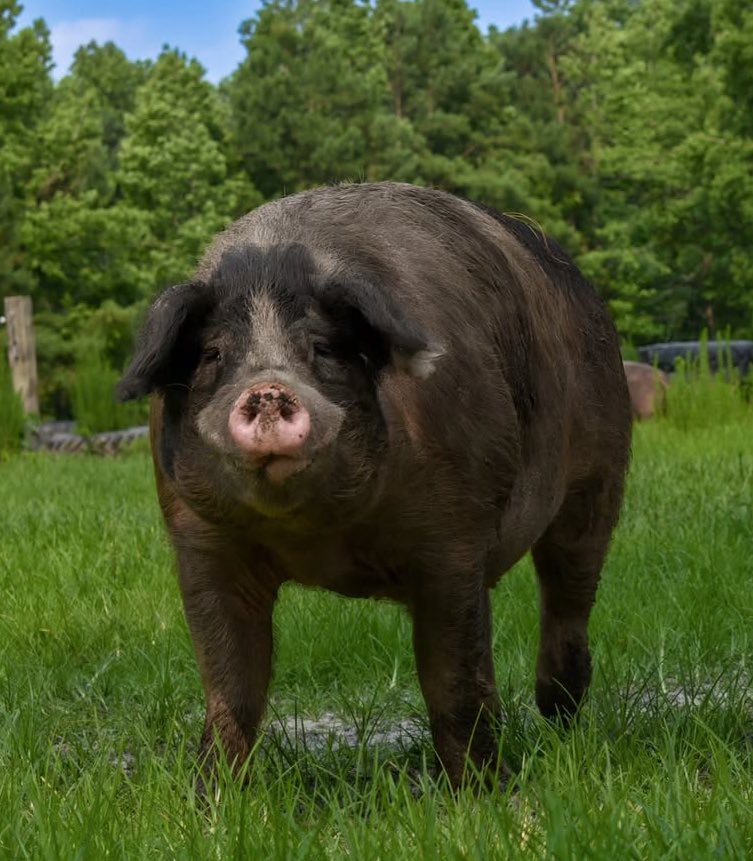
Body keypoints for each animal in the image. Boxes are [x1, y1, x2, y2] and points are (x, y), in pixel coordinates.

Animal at [118, 182, 632, 788]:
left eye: (322, 348)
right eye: (213, 354)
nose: (267, 390)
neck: (318, 540)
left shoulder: (452, 538)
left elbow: (454, 685)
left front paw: (484, 794)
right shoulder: (200, 541)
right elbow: (231, 685)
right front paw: (213, 797)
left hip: (601, 468)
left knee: (568, 589)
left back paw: (561, 717)